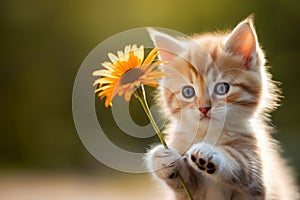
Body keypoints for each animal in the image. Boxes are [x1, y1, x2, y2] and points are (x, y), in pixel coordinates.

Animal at [145, 16, 298, 199]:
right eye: (188, 92)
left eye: (222, 88)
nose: (204, 108)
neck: (209, 133)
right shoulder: (188, 193)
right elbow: (183, 182)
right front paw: (161, 158)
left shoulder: (257, 183)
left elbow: (242, 164)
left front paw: (209, 153)